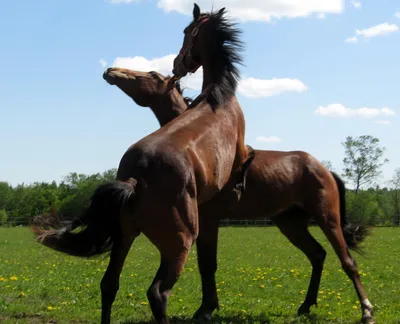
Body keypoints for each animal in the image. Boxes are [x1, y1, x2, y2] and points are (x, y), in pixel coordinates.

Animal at [32, 3, 252, 324]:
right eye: (186, 30)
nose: (176, 64)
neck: (217, 97)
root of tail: (135, 179)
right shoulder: (239, 151)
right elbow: (246, 162)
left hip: (124, 236)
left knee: (109, 284)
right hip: (178, 244)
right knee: (158, 293)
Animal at [103, 63, 376, 324]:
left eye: (152, 74)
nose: (111, 71)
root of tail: (324, 169)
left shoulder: (209, 220)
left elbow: (207, 264)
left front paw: (206, 309)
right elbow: (206, 265)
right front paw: (207, 307)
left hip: (327, 218)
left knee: (348, 262)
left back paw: (367, 311)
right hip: (291, 224)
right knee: (317, 255)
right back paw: (306, 306)